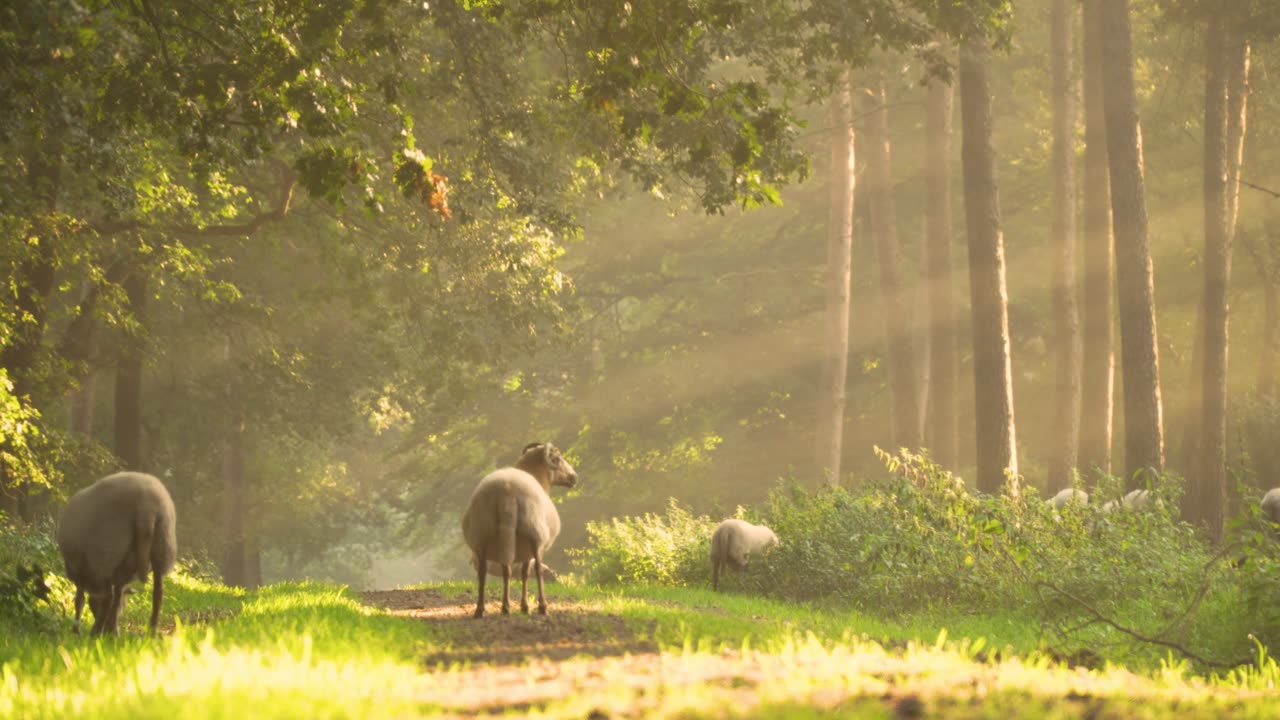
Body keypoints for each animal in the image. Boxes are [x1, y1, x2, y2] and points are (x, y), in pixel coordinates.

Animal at [57, 471, 176, 632]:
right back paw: (151, 630)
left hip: (105, 552)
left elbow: (79, 600)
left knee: (108, 597)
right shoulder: (121, 573)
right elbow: (118, 596)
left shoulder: (79, 571)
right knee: (158, 593)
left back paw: (95, 632)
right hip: (163, 543)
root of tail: (147, 504)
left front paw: (77, 630)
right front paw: (113, 629)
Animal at [460, 440, 576, 614]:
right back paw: (541, 606)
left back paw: (484, 608)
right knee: (536, 569)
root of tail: (506, 494)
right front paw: (524, 605)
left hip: (481, 536)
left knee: (487, 571)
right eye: (557, 459)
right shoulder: (528, 548)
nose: (574, 477)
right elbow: (525, 573)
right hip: (534, 534)